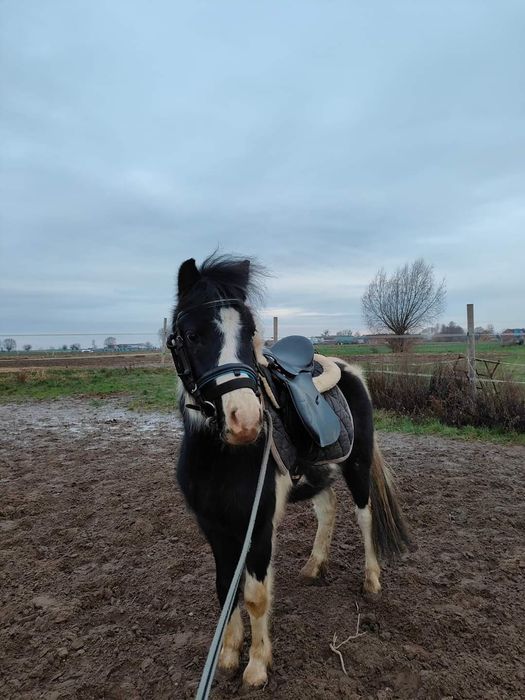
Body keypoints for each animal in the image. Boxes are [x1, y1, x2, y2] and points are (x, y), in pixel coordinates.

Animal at [172, 254, 410, 688]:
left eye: (250, 332)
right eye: (192, 334)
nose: (246, 421)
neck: (221, 456)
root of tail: (350, 369)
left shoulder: (259, 525)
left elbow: (255, 596)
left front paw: (256, 667)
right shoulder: (213, 526)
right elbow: (224, 590)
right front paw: (227, 657)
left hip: (357, 465)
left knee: (364, 515)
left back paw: (371, 581)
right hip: (317, 474)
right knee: (328, 509)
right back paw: (314, 567)